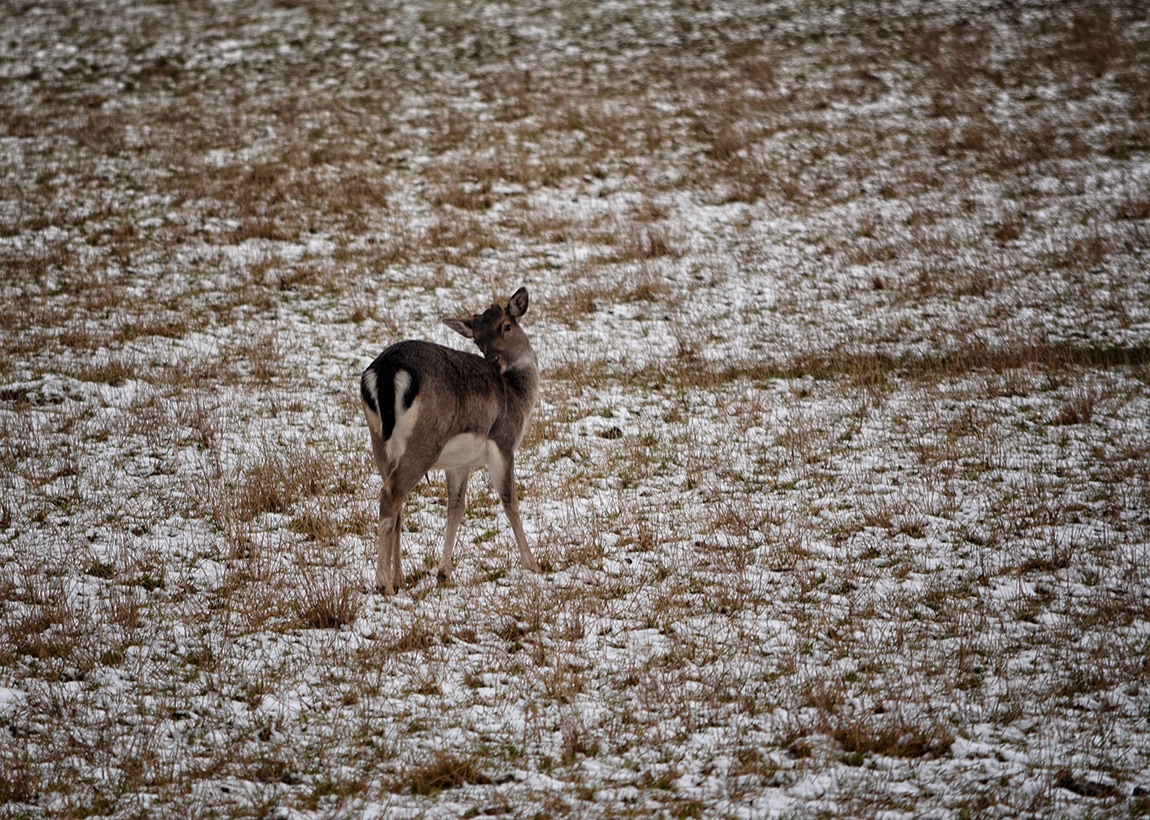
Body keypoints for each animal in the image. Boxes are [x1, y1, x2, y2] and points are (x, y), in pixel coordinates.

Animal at [356, 285, 540, 593]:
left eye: (506, 326)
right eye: (478, 340)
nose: (494, 360)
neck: (519, 398)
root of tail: (386, 370)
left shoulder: (459, 462)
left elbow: (456, 506)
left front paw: (444, 572)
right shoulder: (503, 441)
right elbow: (509, 500)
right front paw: (531, 562)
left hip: (378, 442)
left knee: (396, 502)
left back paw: (398, 577)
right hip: (425, 441)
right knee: (391, 494)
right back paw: (384, 583)